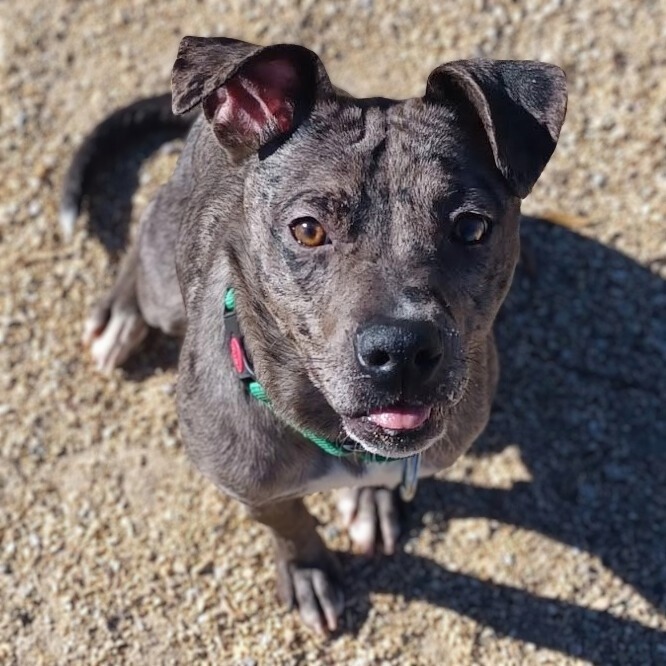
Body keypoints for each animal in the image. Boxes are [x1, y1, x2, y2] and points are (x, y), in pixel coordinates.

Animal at [61, 36, 564, 632]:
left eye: (471, 227)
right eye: (307, 229)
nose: (402, 350)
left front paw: (370, 502)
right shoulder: (251, 487)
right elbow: (289, 522)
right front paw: (307, 570)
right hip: (164, 280)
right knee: (142, 242)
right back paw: (120, 315)